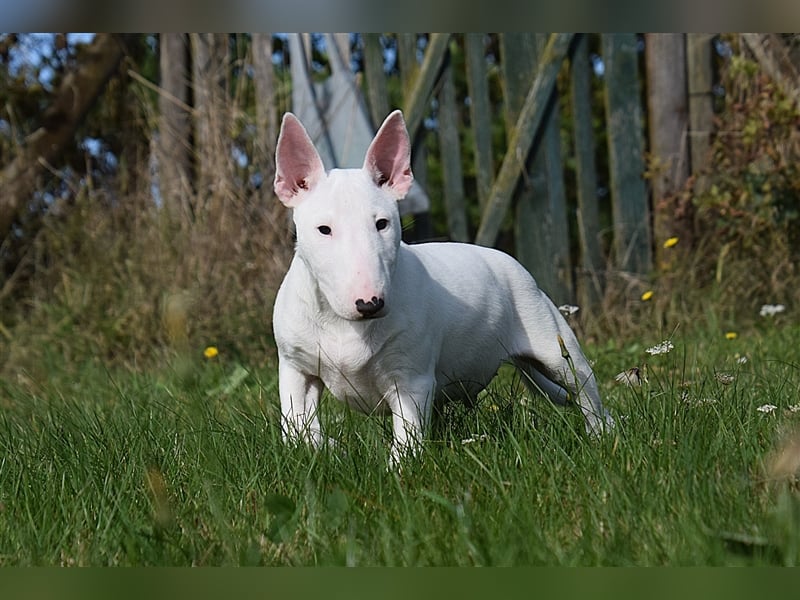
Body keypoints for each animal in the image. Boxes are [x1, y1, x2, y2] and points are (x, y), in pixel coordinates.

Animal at [272, 110, 616, 462]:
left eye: (382, 223)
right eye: (323, 229)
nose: (370, 303)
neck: (344, 324)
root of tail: (511, 262)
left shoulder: (411, 379)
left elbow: (406, 437)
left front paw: (397, 467)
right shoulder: (295, 368)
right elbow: (296, 427)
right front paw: (328, 447)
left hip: (554, 343)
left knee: (586, 392)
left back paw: (602, 436)